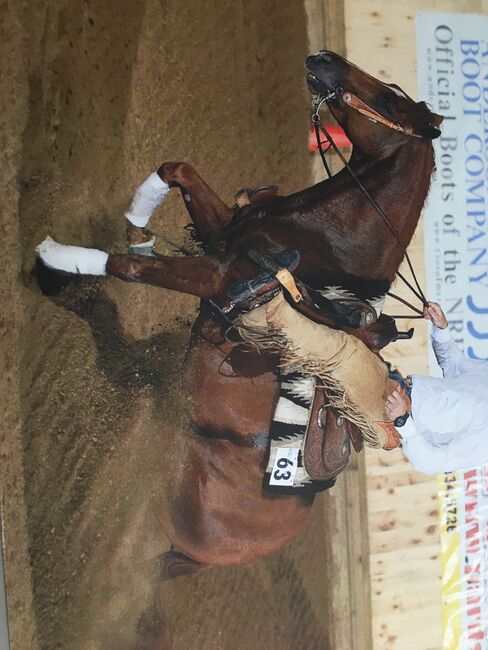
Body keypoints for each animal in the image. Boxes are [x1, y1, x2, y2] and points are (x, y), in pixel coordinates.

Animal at [39, 52, 442, 576]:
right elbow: (177, 169)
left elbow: (131, 267)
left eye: (391, 101)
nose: (325, 59)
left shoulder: (218, 277)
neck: (329, 244)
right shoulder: (222, 237)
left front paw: (53, 261)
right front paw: (138, 228)